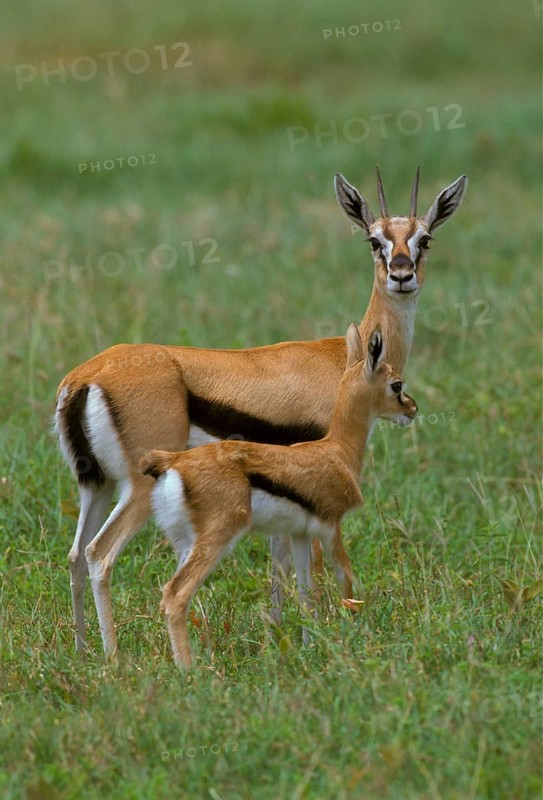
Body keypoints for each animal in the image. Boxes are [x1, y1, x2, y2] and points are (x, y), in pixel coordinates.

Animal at [141, 325, 418, 667]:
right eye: (396, 384)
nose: (413, 409)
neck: (336, 451)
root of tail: (172, 461)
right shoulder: (331, 527)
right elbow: (347, 580)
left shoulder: (300, 534)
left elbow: (306, 592)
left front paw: (310, 645)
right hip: (218, 537)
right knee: (175, 594)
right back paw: (190, 670)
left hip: (184, 542)